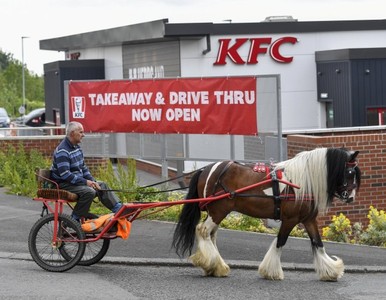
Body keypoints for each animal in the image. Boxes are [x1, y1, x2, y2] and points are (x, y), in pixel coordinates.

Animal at [170, 148, 360, 282]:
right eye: (349, 173)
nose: (350, 197)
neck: (302, 181)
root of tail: (206, 170)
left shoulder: (308, 220)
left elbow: (318, 243)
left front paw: (330, 271)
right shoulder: (290, 219)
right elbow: (280, 241)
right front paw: (271, 272)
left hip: (217, 212)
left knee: (210, 234)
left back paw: (217, 266)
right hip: (218, 211)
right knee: (202, 231)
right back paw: (211, 263)